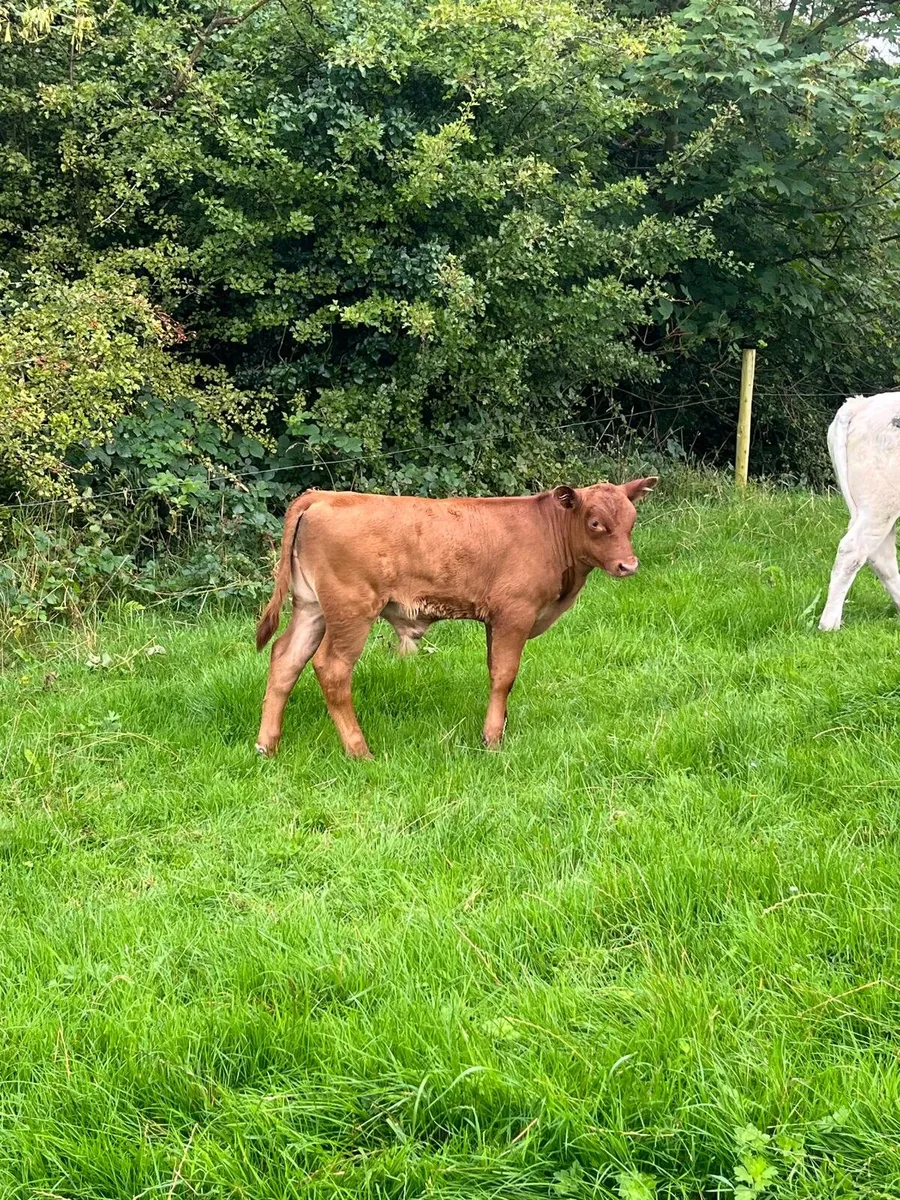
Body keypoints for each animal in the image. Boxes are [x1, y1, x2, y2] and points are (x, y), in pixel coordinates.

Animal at [254, 478, 657, 758]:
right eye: (595, 522)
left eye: (632, 519)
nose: (629, 565)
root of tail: (324, 496)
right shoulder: (515, 613)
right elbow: (505, 675)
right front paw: (492, 740)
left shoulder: (496, 620)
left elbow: (496, 672)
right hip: (351, 610)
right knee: (332, 668)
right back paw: (359, 750)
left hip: (311, 607)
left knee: (286, 658)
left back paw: (267, 745)